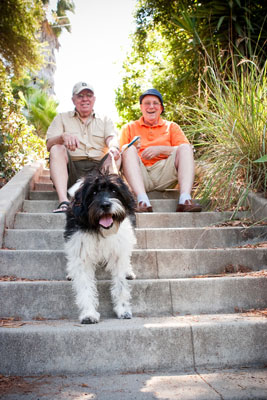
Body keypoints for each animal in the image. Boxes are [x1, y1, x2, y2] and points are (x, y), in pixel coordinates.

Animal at [63, 172, 137, 324]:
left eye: (114, 190)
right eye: (94, 192)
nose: (105, 204)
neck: (99, 229)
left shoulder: (118, 252)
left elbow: (120, 283)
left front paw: (122, 309)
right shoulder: (81, 253)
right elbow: (85, 285)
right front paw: (88, 313)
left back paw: (128, 271)